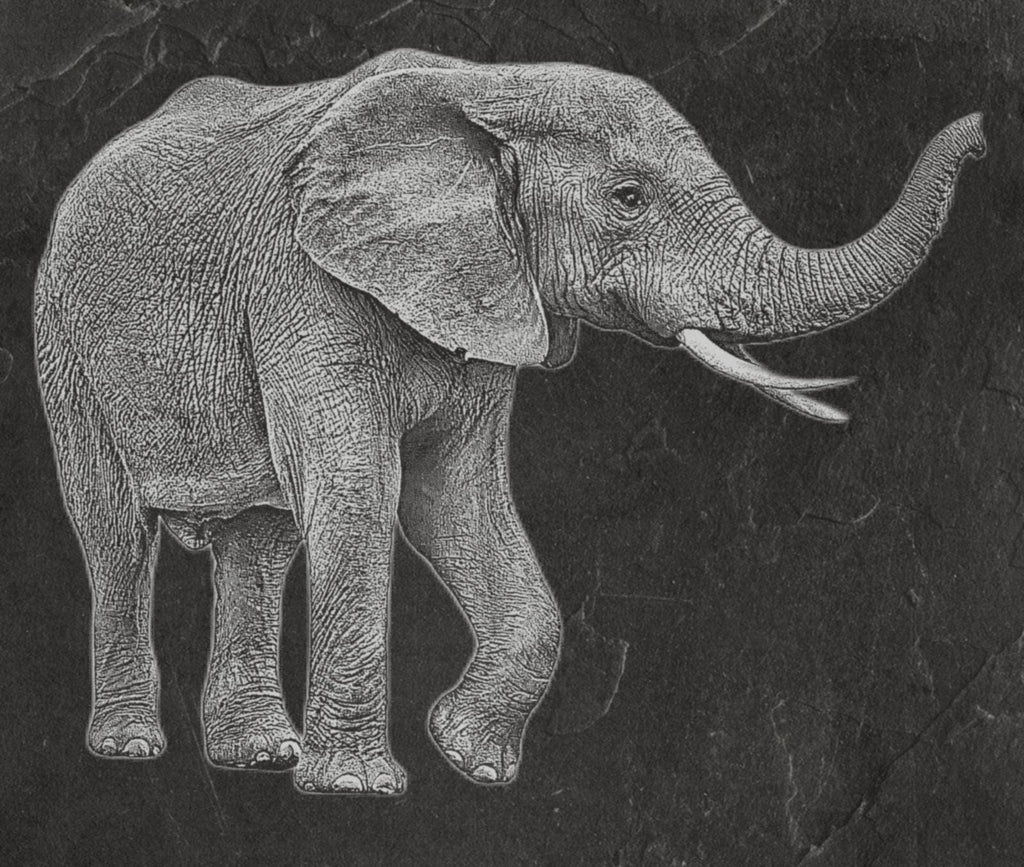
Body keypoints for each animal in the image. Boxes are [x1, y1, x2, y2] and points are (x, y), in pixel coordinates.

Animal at [33, 48, 984, 795]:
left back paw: (261, 756)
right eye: (628, 197)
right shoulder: (305, 288)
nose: (979, 128)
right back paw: (132, 747)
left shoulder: (487, 300)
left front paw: (470, 759)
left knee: (258, 540)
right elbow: (360, 491)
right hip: (65, 344)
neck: (489, 87)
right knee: (114, 531)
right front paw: (361, 788)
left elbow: (453, 499)